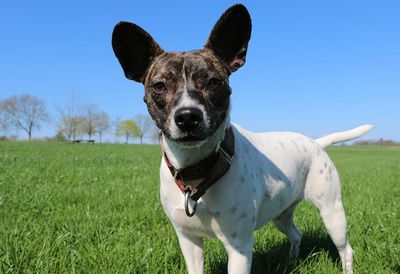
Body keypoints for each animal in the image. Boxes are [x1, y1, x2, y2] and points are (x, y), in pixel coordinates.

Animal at [111, 4, 372, 274]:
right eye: (159, 86)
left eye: (213, 81)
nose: (187, 116)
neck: (198, 170)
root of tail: (315, 143)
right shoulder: (189, 241)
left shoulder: (239, 247)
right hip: (281, 215)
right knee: (296, 234)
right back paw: (291, 261)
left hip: (332, 213)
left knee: (345, 249)